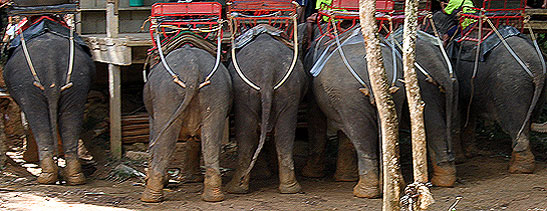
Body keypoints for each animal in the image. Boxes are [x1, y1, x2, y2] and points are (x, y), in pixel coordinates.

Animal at [3, 18, 95, 185]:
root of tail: (50, 63)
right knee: (72, 115)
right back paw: (73, 177)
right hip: (79, 80)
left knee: (35, 116)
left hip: (25, 82)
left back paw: (46, 176)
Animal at [140, 45, 232, 203]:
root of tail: (193, 66)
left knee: (164, 144)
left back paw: (149, 197)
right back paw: (213, 197)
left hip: (166, 96)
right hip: (217, 94)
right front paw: (192, 179)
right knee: (211, 142)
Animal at [226, 24, 310, 195]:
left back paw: (237, 187)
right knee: (282, 134)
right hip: (285, 90)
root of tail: (267, 68)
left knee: (249, 135)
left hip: (250, 91)